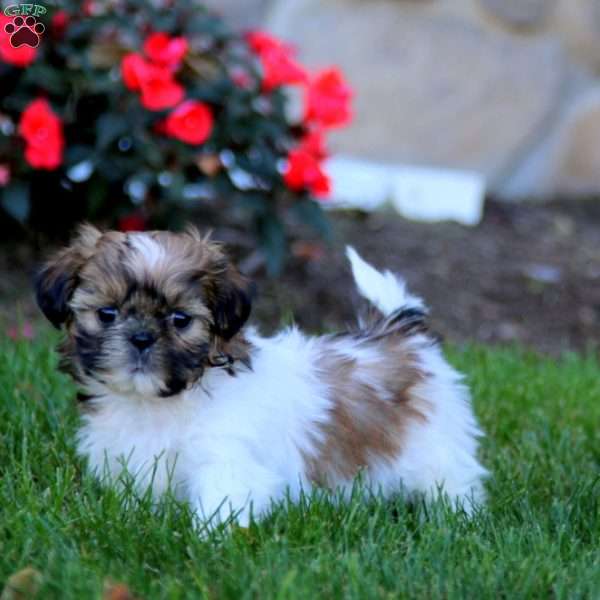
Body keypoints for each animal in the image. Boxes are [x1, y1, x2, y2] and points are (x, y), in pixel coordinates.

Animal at [35, 225, 488, 524]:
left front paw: (208, 542)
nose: (142, 337)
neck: (164, 401)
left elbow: (220, 501)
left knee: (450, 477)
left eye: (180, 319)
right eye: (106, 314)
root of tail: (399, 332)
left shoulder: (226, 459)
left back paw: (457, 517)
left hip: (435, 442)